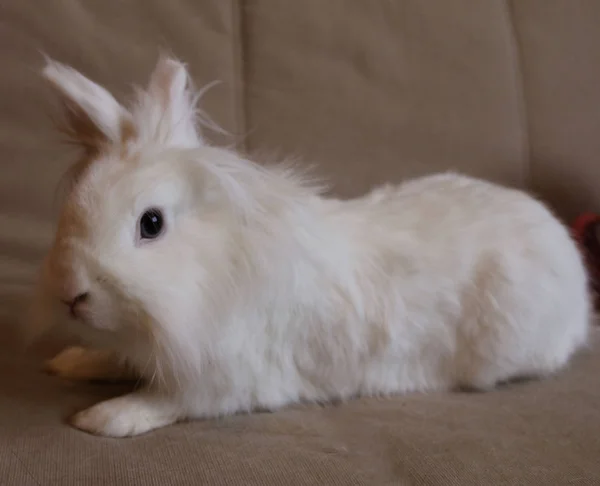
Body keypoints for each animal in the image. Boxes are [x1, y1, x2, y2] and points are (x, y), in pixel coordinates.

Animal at [29, 56, 592, 436]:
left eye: (151, 223)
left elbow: (165, 401)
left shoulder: (222, 382)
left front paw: (103, 417)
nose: (72, 294)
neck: (213, 270)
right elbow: (116, 361)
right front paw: (71, 362)